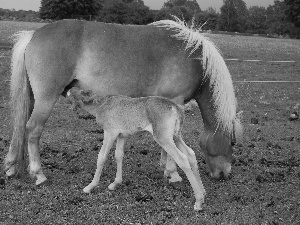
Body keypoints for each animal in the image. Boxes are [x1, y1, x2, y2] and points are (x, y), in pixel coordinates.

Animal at [4, 16, 241, 190]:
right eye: (232, 142)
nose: (223, 174)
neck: (194, 58)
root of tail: (33, 35)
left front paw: (166, 169)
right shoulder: (174, 102)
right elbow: (171, 142)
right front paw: (172, 172)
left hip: (33, 98)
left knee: (20, 127)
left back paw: (12, 167)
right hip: (46, 98)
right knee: (33, 130)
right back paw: (39, 174)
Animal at [67, 88, 205, 211]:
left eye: (71, 95)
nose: (70, 107)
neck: (101, 105)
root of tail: (175, 108)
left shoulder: (110, 132)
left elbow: (102, 156)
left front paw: (90, 186)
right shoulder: (122, 135)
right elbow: (119, 155)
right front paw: (115, 183)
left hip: (163, 137)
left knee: (182, 158)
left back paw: (198, 201)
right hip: (176, 136)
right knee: (191, 154)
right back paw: (203, 192)